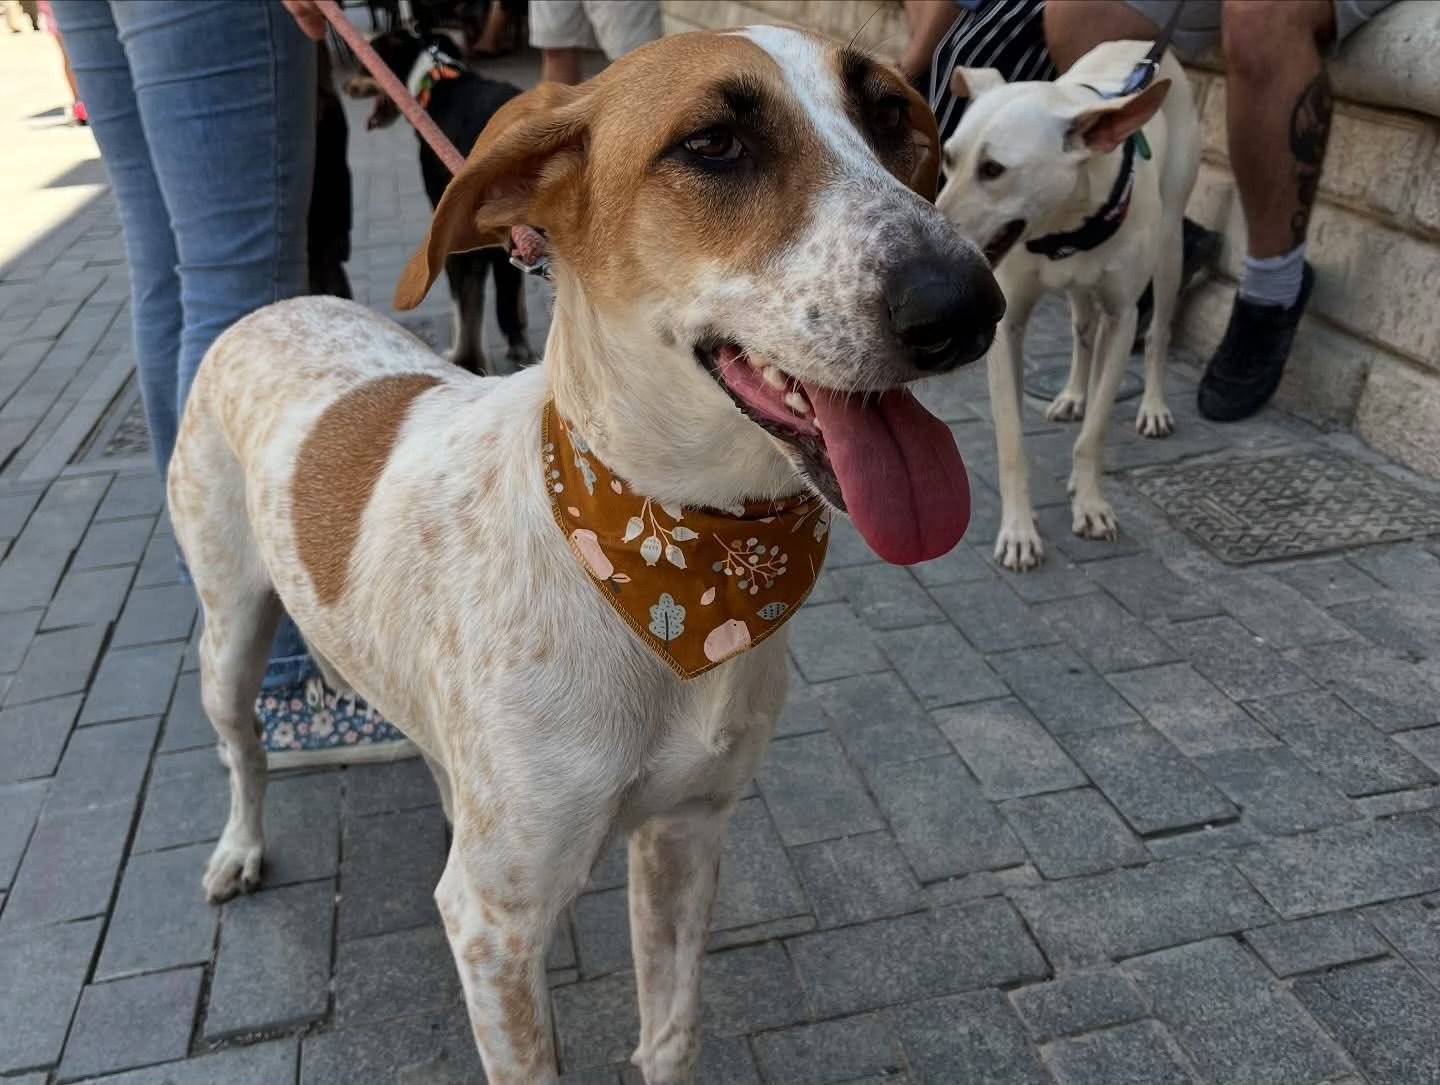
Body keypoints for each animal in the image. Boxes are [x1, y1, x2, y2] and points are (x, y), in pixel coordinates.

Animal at [353, 27, 535, 373]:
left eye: (367, 60)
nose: (347, 85)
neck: (433, 81)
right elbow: (509, 298)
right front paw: (519, 347)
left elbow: (467, 310)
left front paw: (466, 360)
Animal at [935, 40, 1199, 571]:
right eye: (949, 159)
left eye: (993, 170)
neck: (1062, 224)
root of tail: (1139, 45)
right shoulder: (1007, 325)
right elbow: (1012, 442)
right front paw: (1019, 530)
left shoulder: (1123, 318)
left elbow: (1095, 431)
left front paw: (1092, 504)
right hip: (1082, 291)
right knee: (1081, 333)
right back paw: (1074, 393)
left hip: (1170, 245)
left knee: (1157, 332)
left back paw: (1151, 407)